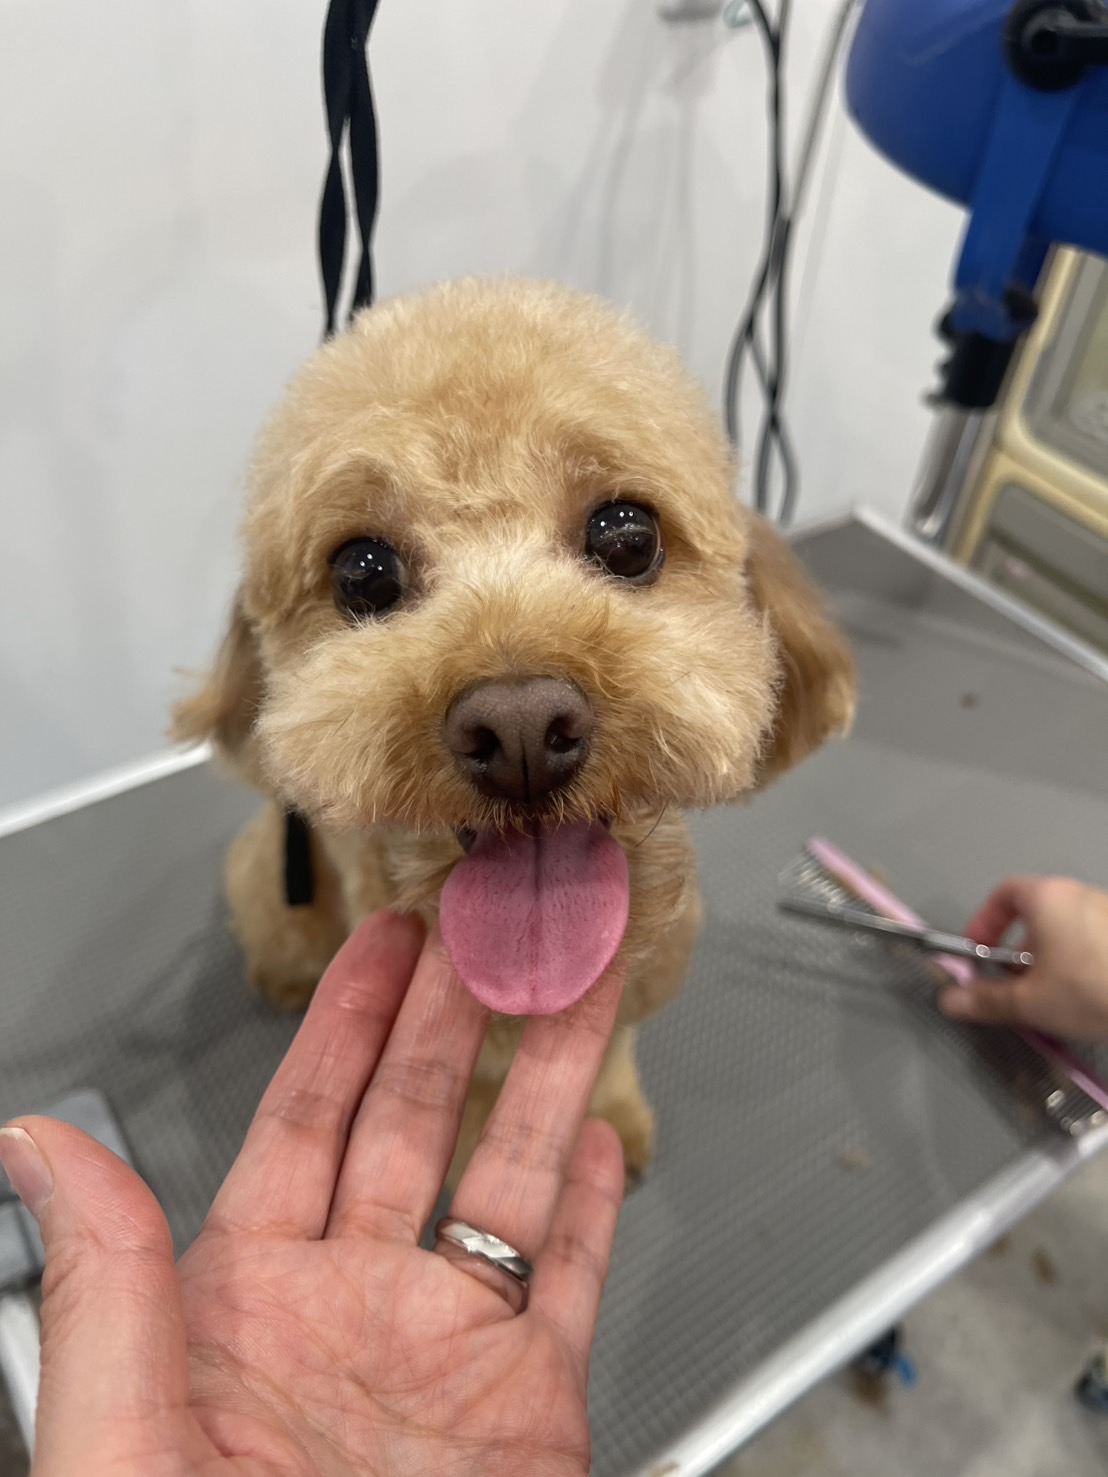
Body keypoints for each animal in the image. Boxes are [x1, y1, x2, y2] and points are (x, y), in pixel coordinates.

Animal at [174, 276, 855, 1185]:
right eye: (363, 572)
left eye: (627, 534)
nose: (523, 728)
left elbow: (609, 1055)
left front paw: (614, 1122)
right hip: (269, 874)